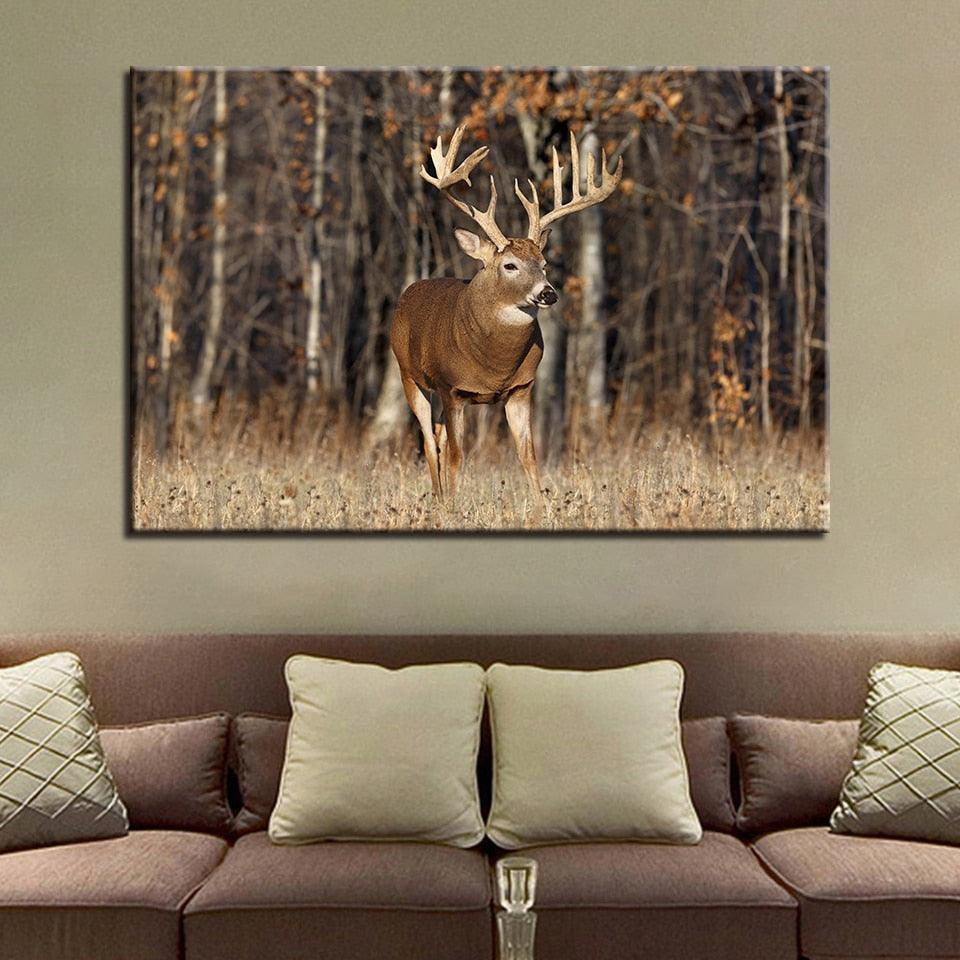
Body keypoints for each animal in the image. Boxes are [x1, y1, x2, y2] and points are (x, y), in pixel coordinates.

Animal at [390, 123, 622, 504]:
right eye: (509, 265)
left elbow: (528, 455)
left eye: (543, 263)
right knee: (428, 441)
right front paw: (454, 507)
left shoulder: (521, 388)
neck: (494, 365)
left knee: (437, 436)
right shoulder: (452, 388)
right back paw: (439, 498)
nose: (548, 293)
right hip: (410, 376)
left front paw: (543, 506)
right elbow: (457, 455)